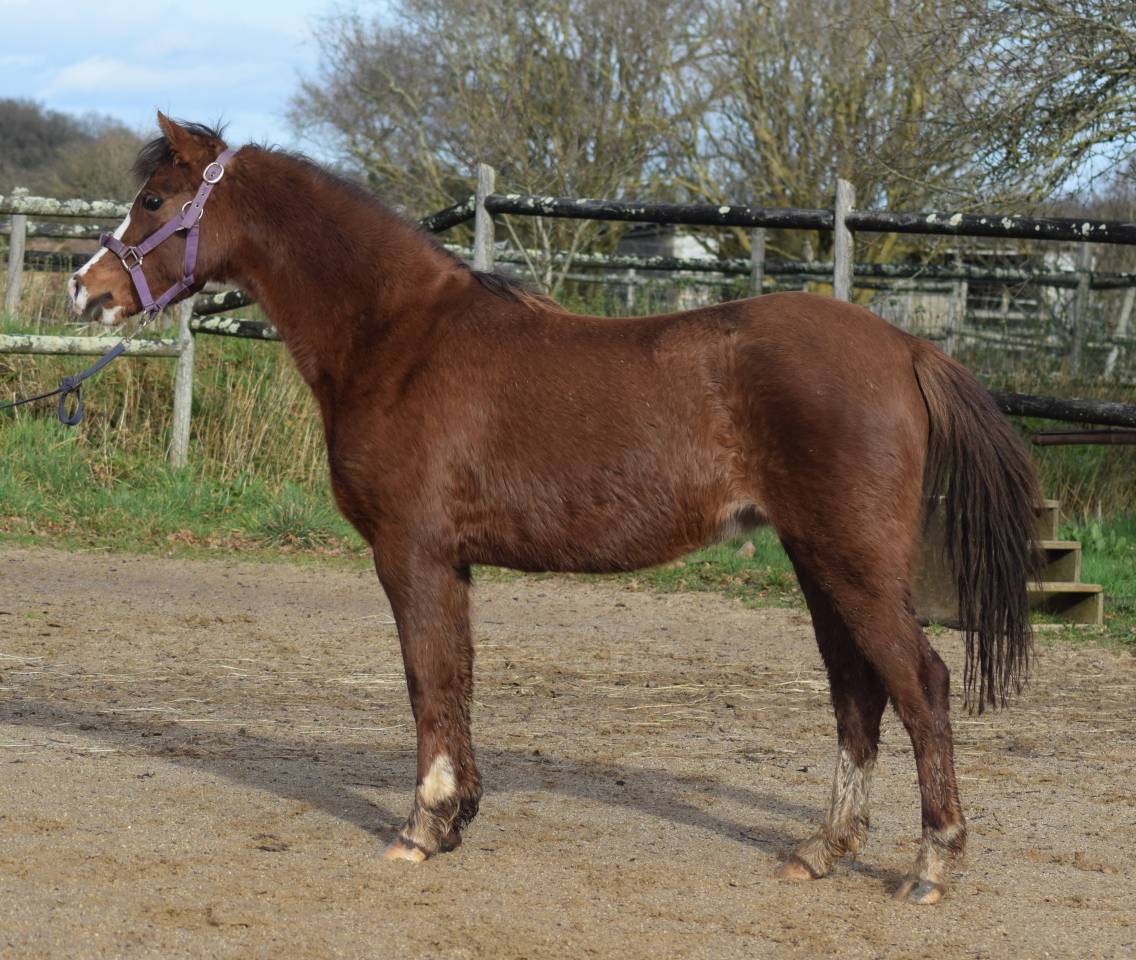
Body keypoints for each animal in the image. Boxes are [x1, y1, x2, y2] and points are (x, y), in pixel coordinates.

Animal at [68, 114, 1039, 905]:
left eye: (154, 199)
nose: (85, 289)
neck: (399, 336)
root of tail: (906, 345)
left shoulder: (409, 551)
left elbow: (426, 680)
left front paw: (421, 828)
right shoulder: (450, 561)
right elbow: (456, 677)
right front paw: (455, 819)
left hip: (852, 563)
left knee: (920, 686)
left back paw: (932, 865)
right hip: (819, 562)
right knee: (857, 695)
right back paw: (823, 849)